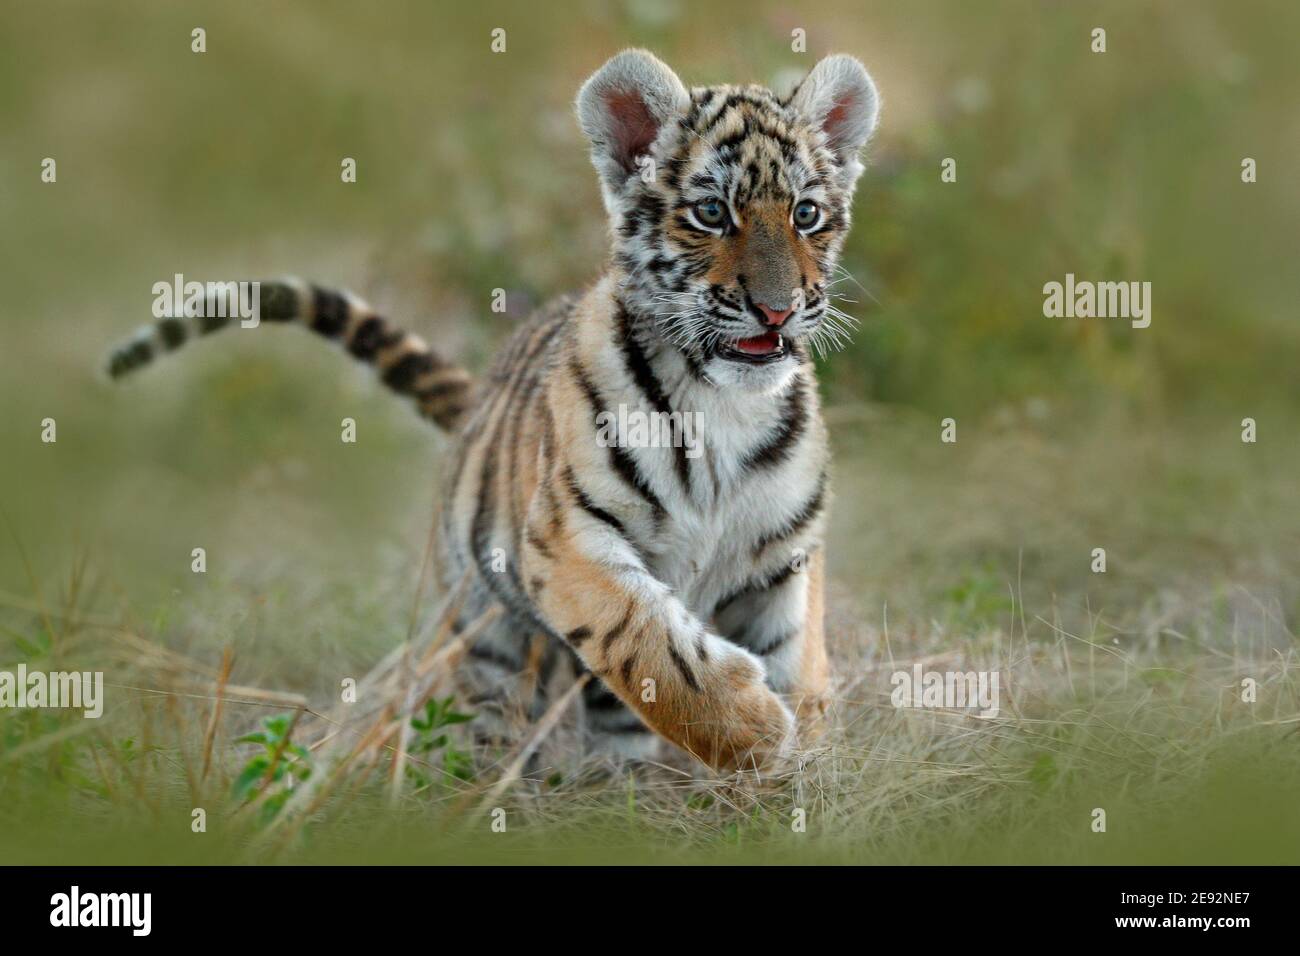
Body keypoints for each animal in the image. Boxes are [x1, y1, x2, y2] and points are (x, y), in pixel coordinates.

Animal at [106, 50, 880, 772]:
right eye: (712, 213)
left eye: (806, 214)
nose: (777, 310)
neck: (725, 403)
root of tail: (479, 397)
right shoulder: (566, 540)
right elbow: (655, 649)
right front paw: (758, 733)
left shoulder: (782, 562)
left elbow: (793, 663)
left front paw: (800, 770)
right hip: (486, 635)